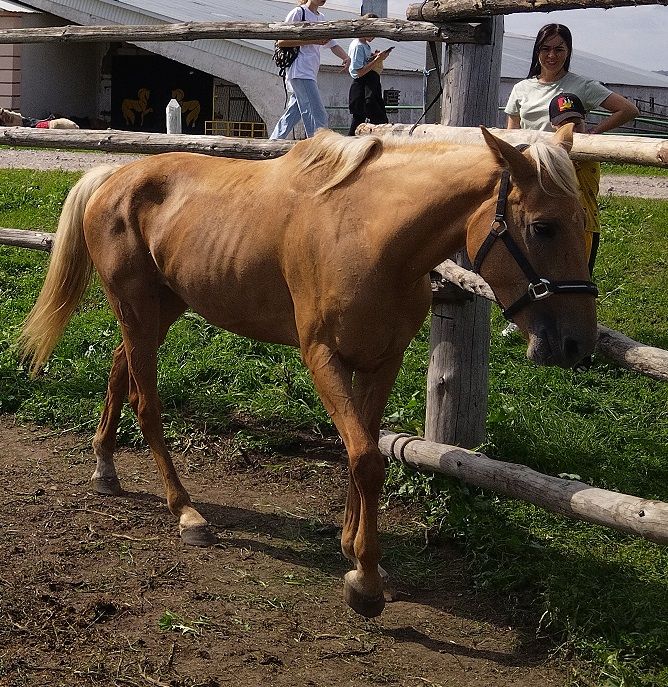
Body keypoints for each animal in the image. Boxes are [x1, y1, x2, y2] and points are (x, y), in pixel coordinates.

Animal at [20, 123, 596, 620]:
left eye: (589, 230)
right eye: (542, 227)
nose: (577, 344)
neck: (370, 234)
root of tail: (112, 177)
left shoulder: (380, 361)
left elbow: (363, 448)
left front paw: (355, 550)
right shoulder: (322, 357)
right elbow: (366, 458)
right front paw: (365, 582)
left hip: (157, 312)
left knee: (120, 373)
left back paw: (105, 468)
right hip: (138, 312)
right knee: (148, 404)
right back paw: (186, 511)